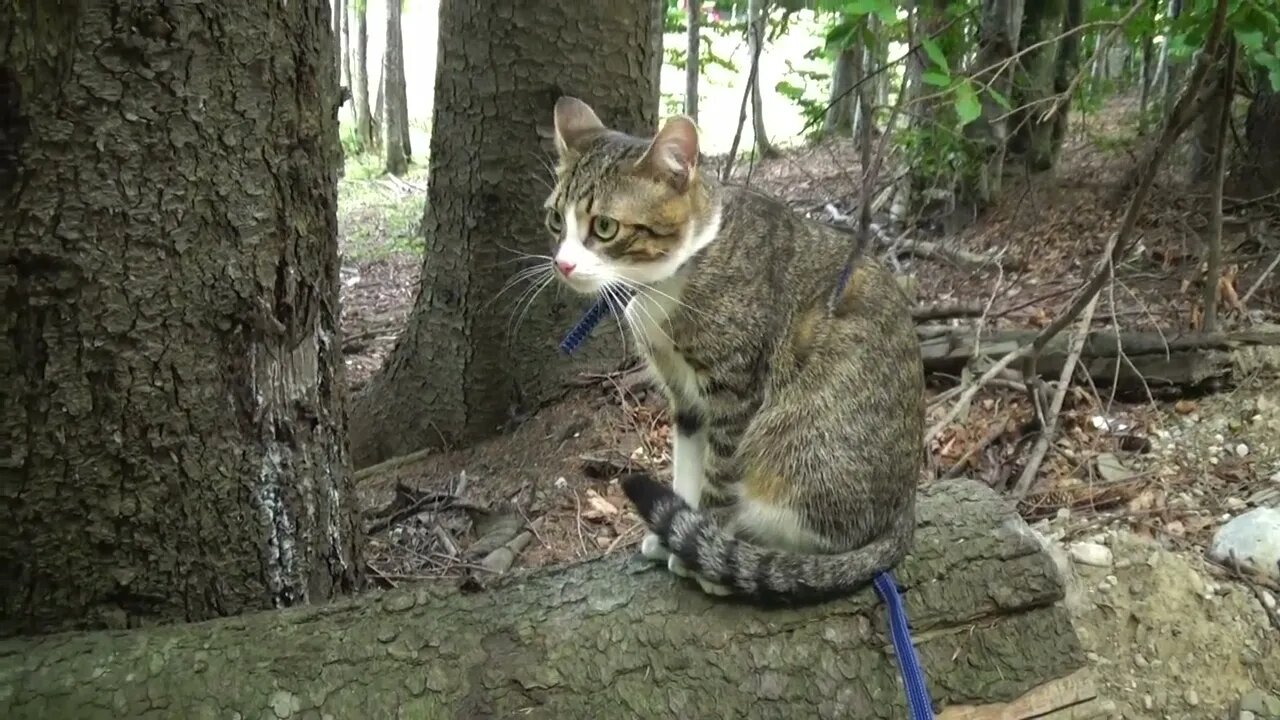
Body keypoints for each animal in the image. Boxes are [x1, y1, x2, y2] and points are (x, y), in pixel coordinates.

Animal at [537, 95, 921, 599]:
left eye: (604, 227)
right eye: (555, 219)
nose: (562, 265)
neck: (666, 284)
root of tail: (904, 509)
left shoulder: (735, 391)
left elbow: (719, 475)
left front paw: (705, 545)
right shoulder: (684, 396)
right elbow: (687, 465)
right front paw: (678, 530)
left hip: (796, 442)